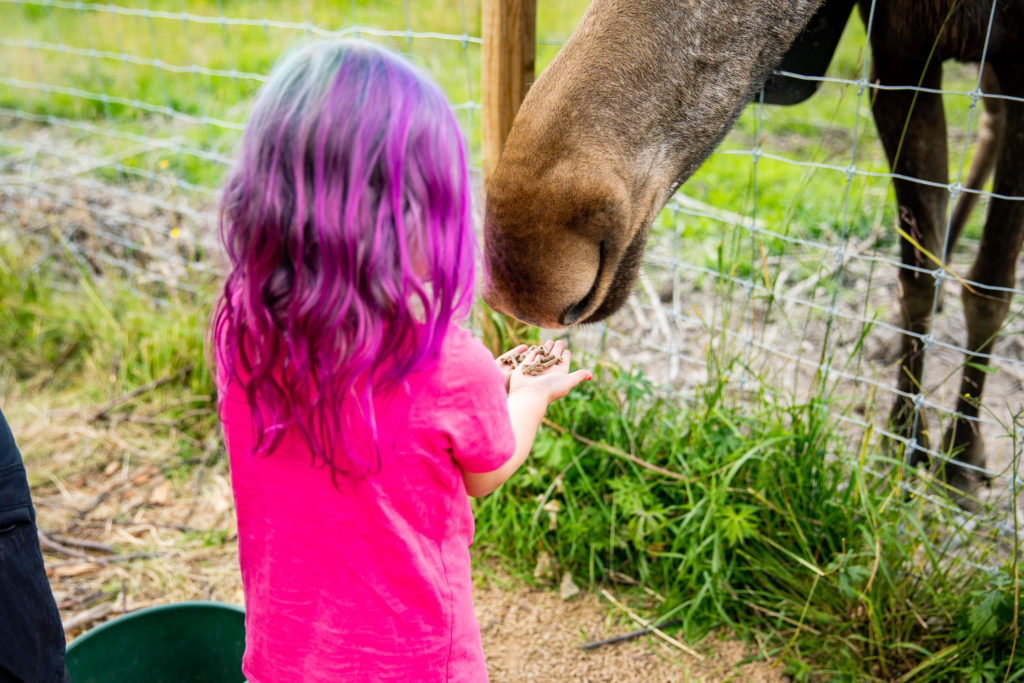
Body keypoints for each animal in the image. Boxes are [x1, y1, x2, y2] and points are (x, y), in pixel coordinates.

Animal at [483, 0, 1024, 497]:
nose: (525, 276)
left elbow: (990, 289)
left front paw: (960, 454)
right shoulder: (900, 54)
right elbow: (917, 275)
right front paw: (905, 441)